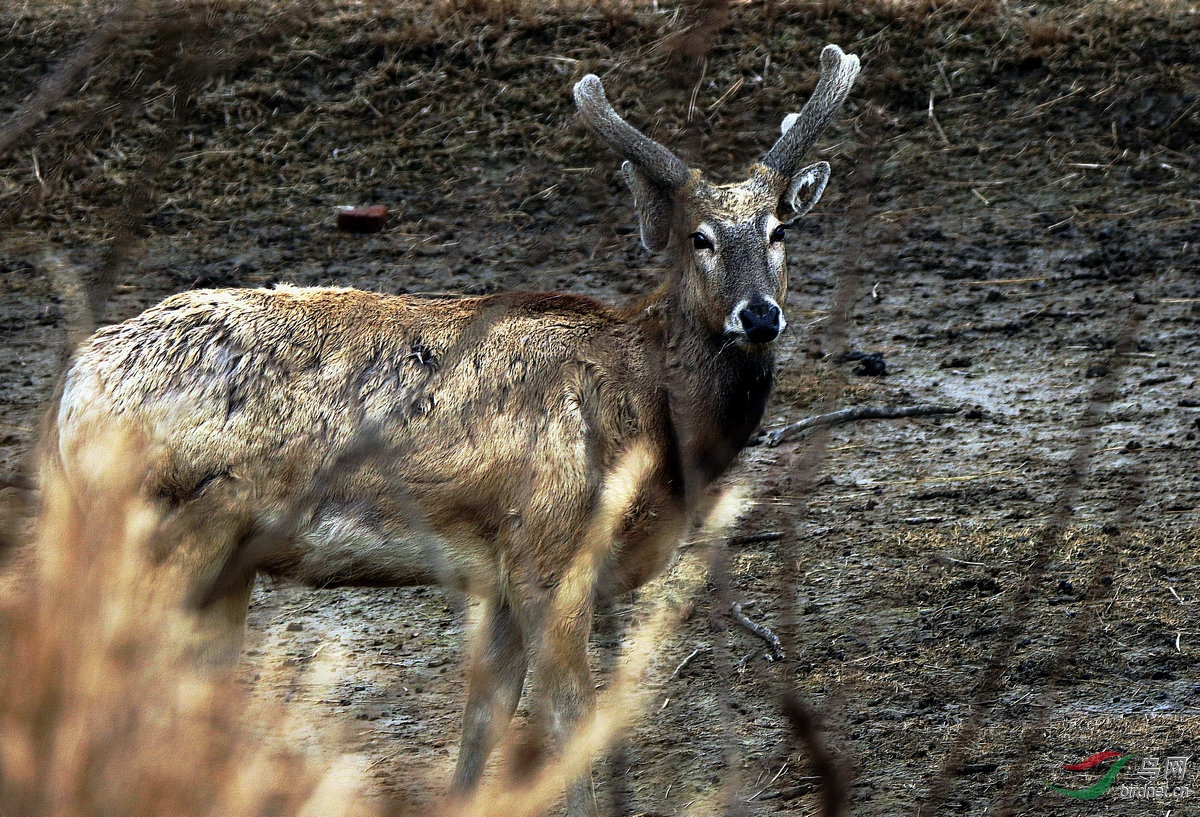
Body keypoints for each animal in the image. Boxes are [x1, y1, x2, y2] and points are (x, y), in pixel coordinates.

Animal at [42, 44, 859, 815]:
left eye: (779, 228)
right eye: (700, 237)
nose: (760, 314)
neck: (650, 426)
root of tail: (73, 390)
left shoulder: (498, 575)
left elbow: (481, 728)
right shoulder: (550, 549)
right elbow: (569, 726)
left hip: (223, 557)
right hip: (166, 523)